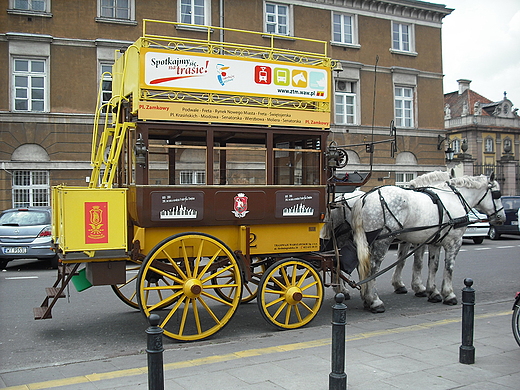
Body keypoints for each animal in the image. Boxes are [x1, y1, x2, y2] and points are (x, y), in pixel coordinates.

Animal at [352, 175, 506, 312]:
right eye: (497, 194)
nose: (501, 217)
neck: (453, 198)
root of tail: (365, 197)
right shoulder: (454, 241)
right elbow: (448, 267)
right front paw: (448, 294)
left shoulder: (432, 241)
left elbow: (432, 265)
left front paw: (432, 291)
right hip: (383, 240)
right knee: (373, 267)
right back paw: (374, 300)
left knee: (363, 266)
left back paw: (366, 297)